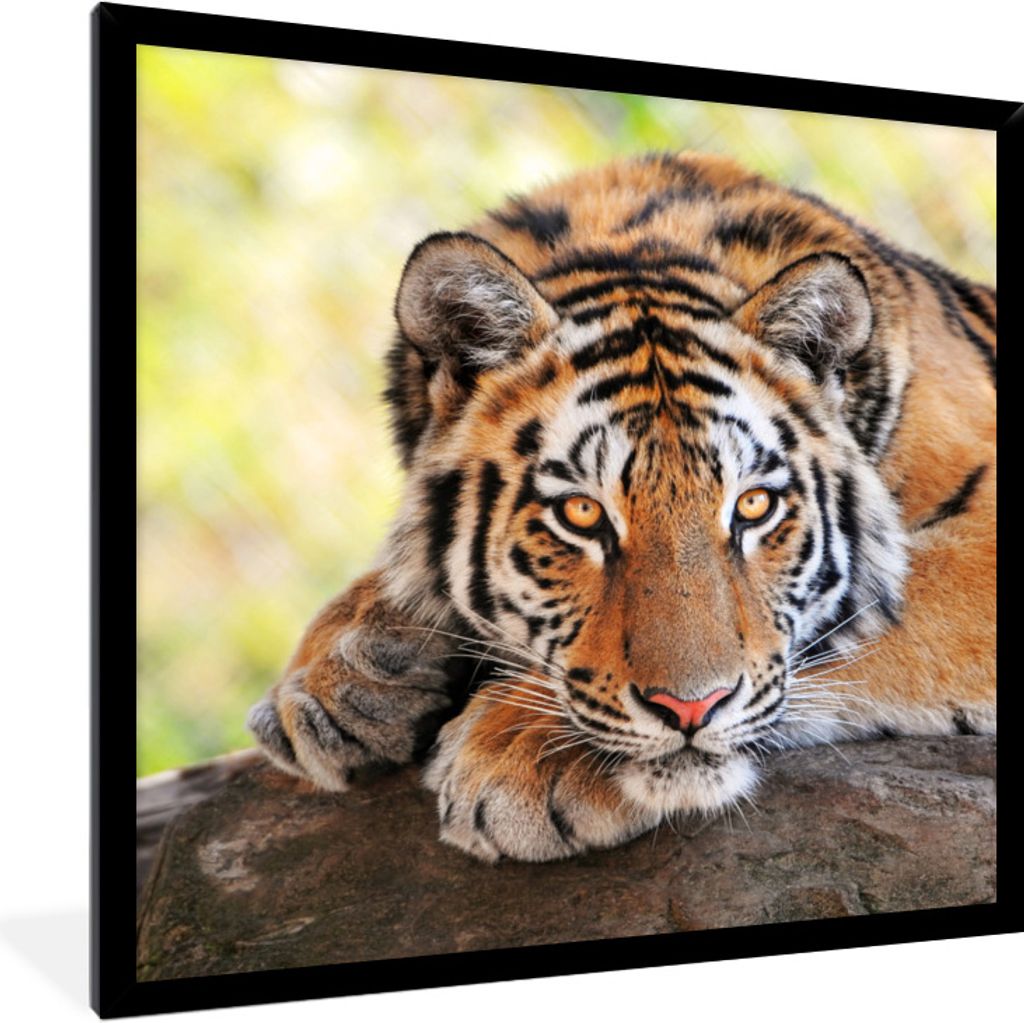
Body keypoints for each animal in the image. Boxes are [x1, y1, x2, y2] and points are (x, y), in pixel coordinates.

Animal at [246, 151, 996, 863]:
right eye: (581, 515)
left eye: (753, 506)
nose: (691, 709)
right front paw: (330, 679)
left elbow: (853, 621)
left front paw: (519, 750)